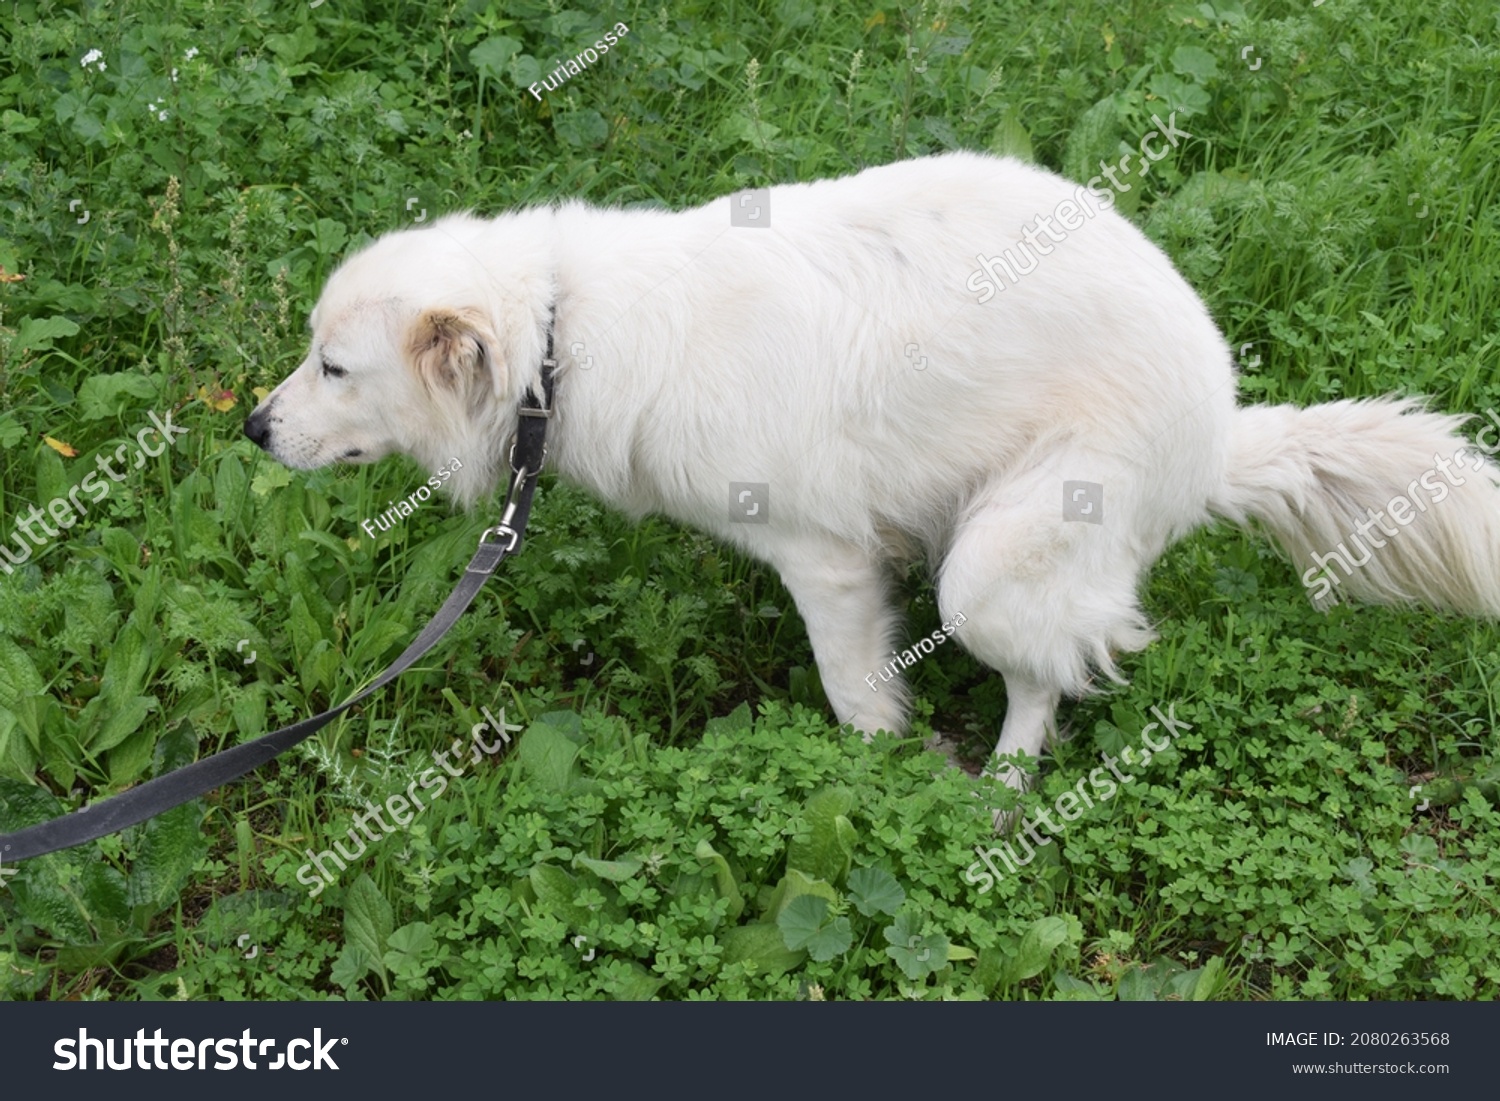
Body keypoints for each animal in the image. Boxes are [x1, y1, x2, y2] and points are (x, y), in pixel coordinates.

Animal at [240, 153, 1500, 792]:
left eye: (333, 368)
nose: (250, 428)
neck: (563, 333)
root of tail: (1219, 426)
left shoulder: (827, 561)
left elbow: (855, 695)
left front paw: (886, 766)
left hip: (996, 562)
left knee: (1041, 678)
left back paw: (999, 790)